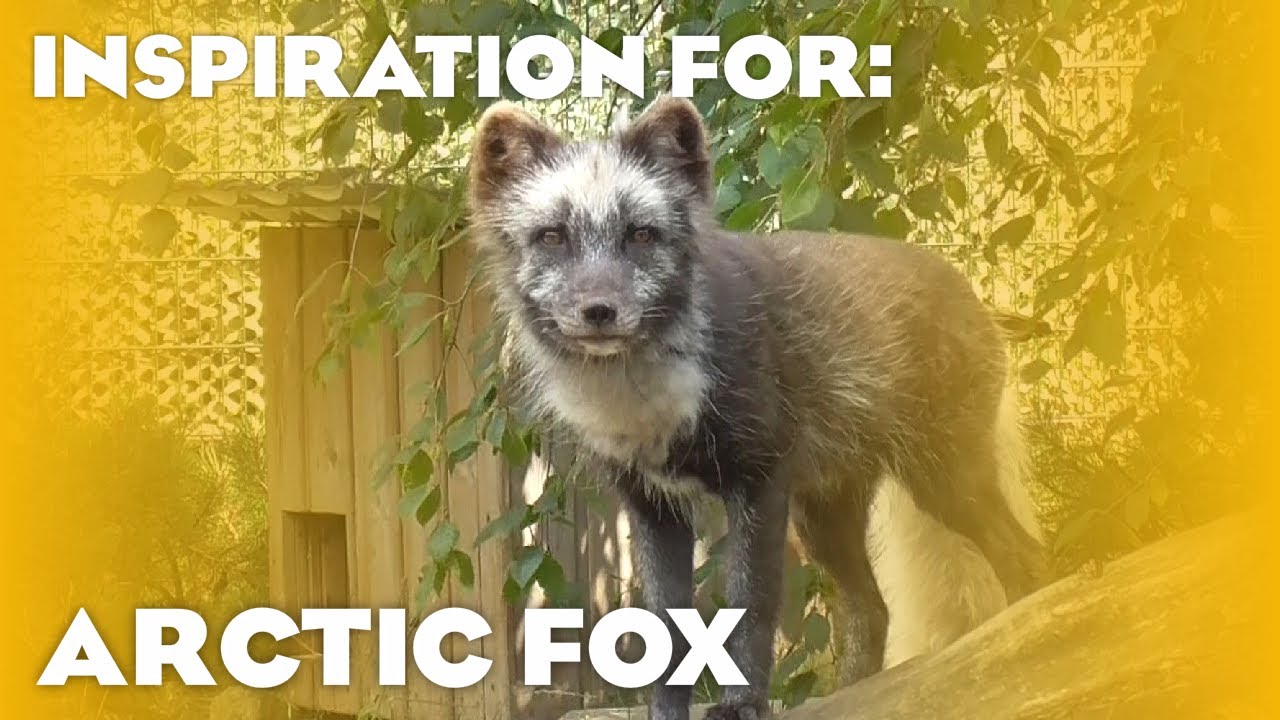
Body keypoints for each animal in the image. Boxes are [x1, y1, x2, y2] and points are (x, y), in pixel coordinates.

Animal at [465, 96, 1045, 720]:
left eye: (641, 235)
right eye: (551, 237)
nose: (600, 311)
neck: (647, 402)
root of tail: (973, 294)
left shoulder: (759, 481)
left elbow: (752, 606)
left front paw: (742, 704)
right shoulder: (651, 506)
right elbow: (666, 631)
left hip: (943, 481)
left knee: (1026, 558)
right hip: (826, 519)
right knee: (873, 610)